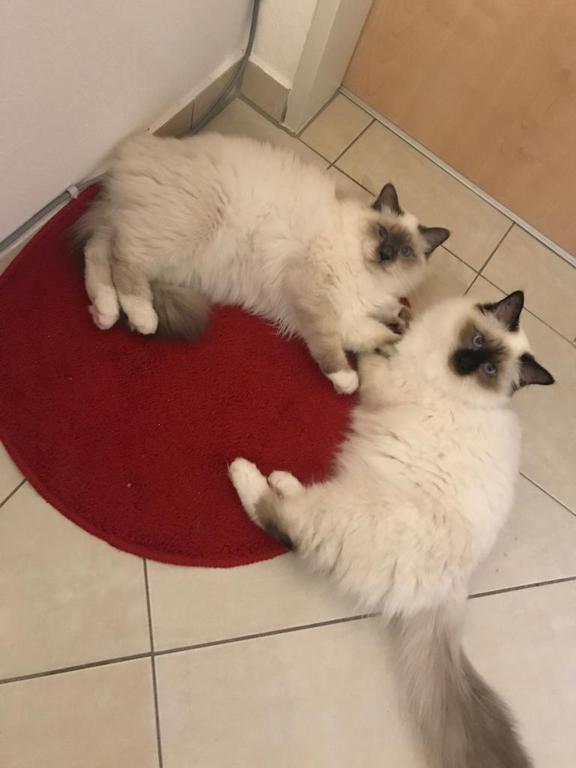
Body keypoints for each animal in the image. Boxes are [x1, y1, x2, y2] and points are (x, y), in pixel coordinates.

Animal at [78, 132, 449, 394]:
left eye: (405, 252)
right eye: (383, 232)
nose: (385, 255)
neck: (371, 280)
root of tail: (137, 148)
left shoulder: (351, 316)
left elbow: (382, 335)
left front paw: (404, 331)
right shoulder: (316, 297)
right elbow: (330, 346)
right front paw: (346, 380)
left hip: (157, 246)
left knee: (97, 252)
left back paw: (104, 312)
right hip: (176, 235)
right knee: (124, 262)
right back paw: (141, 317)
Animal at [229, 290, 554, 768]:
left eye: (490, 371)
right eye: (477, 342)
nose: (465, 361)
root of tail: (452, 593)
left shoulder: (386, 384)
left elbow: (366, 361)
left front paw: (366, 347)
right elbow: (392, 330)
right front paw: (398, 321)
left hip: (341, 515)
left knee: (282, 522)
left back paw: (248, 474)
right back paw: (284, 480)